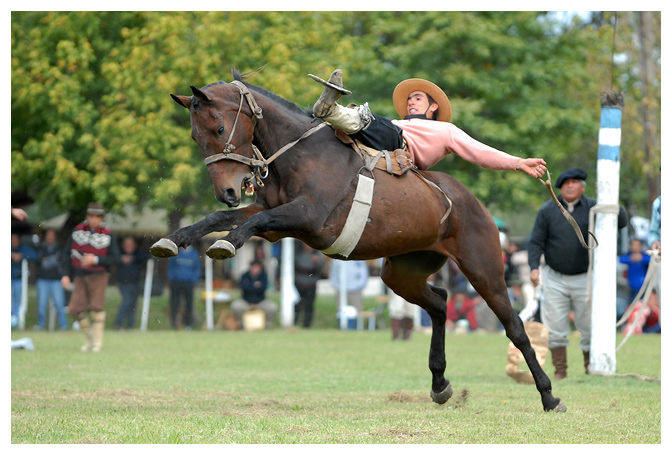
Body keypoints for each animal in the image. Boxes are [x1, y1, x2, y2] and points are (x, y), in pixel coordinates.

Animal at [151, 70, 568, 414]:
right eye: (195, 135)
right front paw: (172, 241)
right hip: (401, 272)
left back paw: (549, 396)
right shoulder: (275, 221)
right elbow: (219, 219)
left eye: (220, 128)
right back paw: (440, 384)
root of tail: (472, 203)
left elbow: (251, 223)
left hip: (484, 269)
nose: (227, 191)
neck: (301, 152)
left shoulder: (305, 217)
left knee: (514, 327)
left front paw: (226, 245)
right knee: (438, 303)